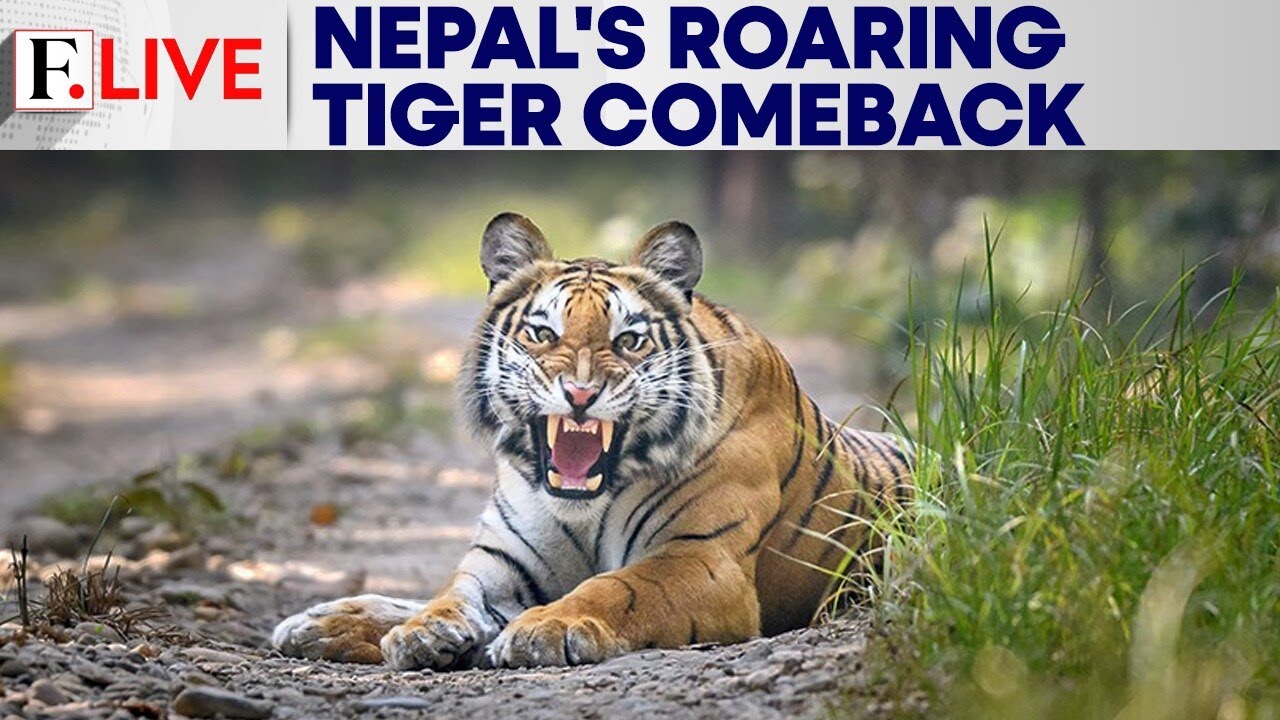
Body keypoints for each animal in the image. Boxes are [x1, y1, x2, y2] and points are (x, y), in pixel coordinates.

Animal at [272, 213, 912, 670]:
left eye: (629, 340)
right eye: (541, 333)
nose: (579, 393)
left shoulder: (700, 558)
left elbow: (616, 588)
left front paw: (543, 629)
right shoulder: (504, 560)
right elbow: (453, 592)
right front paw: (425, 632)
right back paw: (319, 622)